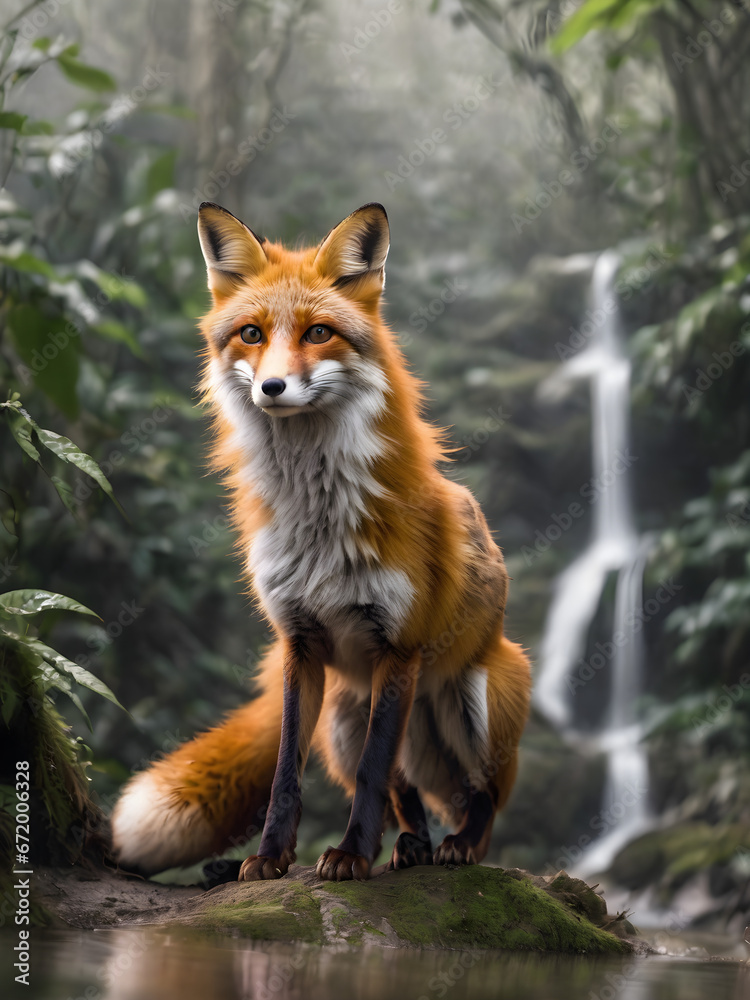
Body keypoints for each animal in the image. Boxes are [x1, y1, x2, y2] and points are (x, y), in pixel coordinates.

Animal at [111, 202, 532, 882]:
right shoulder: (300, 642)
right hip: (344, 712)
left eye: (318, 334)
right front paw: (270, 858)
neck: (317, 521)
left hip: (475, 699)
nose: (273, 388)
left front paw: (351, 856)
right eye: (251, 334)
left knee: (483, 793)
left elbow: (373, 771)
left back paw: (459, 844)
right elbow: (289, 772)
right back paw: (411, 845)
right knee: (405, 790)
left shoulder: (399, 646)